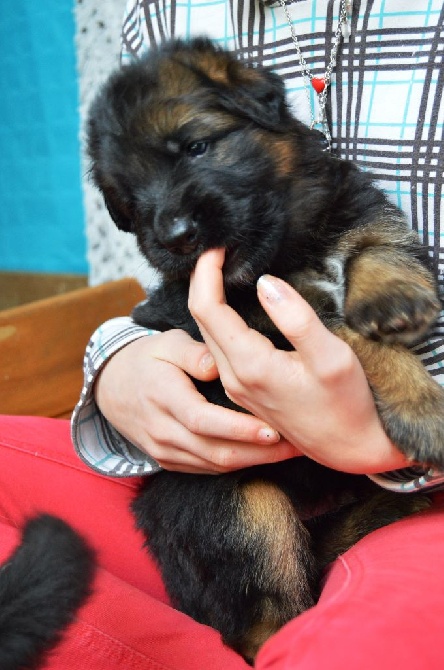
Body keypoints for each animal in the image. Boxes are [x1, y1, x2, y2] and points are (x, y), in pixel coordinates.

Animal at [86, 39, 440, 664]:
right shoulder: (263, 328)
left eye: (196, 147)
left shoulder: (349, 208)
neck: (283, 250)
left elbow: (376, 244)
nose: (175, 235)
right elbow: (346, 337)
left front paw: (395, 297)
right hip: (239, 505)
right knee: (263, 623)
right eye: (130, 198)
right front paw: (422, 408)